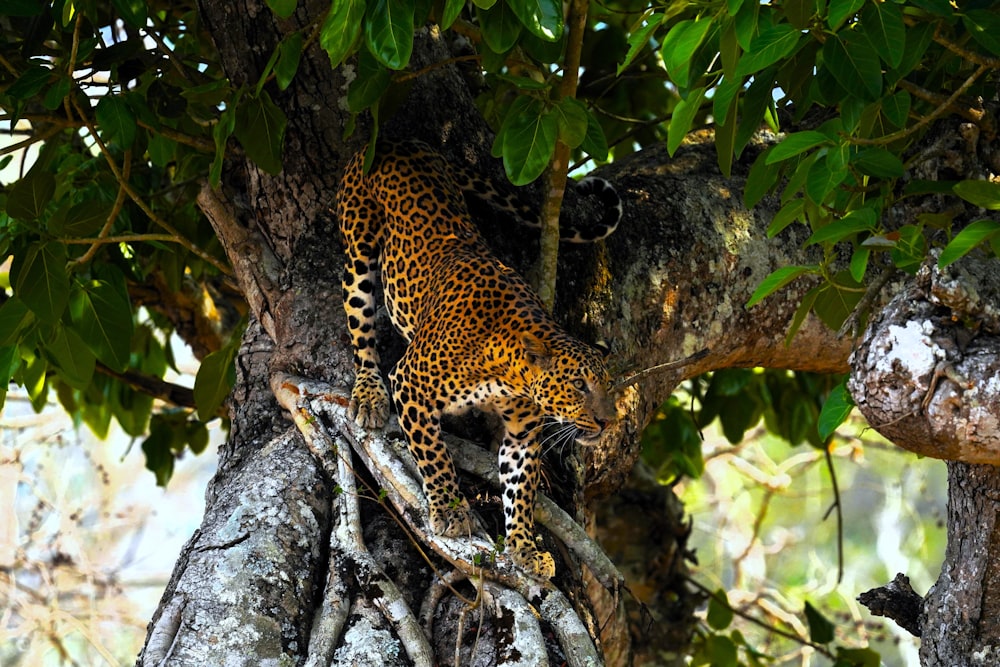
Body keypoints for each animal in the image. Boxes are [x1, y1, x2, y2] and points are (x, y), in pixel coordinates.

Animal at [338, 138, 616, 576]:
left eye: (608, 386)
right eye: (578, 384)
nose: (608, 422)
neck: (508, 372)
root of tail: (400, 140)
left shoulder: (522, 433)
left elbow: (520, 490)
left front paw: (525, 548)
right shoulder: (410, 384)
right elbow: (433, 454)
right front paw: (450, 511)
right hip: (358, 247)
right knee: (360, 324)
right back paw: (368, 394)